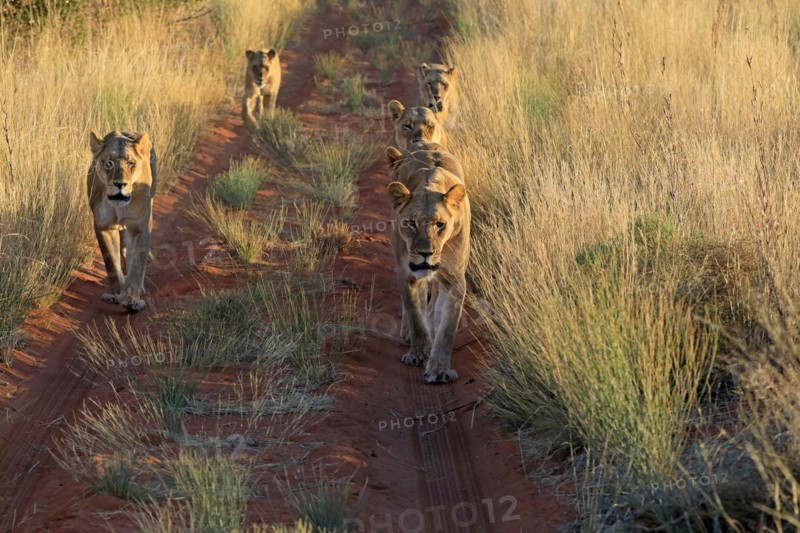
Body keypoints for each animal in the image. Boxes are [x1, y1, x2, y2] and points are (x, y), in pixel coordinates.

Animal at [87, 131, 157, 312]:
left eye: (131, 163)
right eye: (109, 163)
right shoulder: (104, 226)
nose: (120, 184)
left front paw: (130, 298)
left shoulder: (141, 226)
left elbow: (137, 263)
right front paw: (117, 293)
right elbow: (111, 261)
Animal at [386, 144, 470, 384]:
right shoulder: (408, 274)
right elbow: (415, 316)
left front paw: (440, 369)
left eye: (440, 224)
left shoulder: (454, 280)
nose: (425, 254)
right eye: (410, 223)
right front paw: (419, 354)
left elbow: (447, 328)